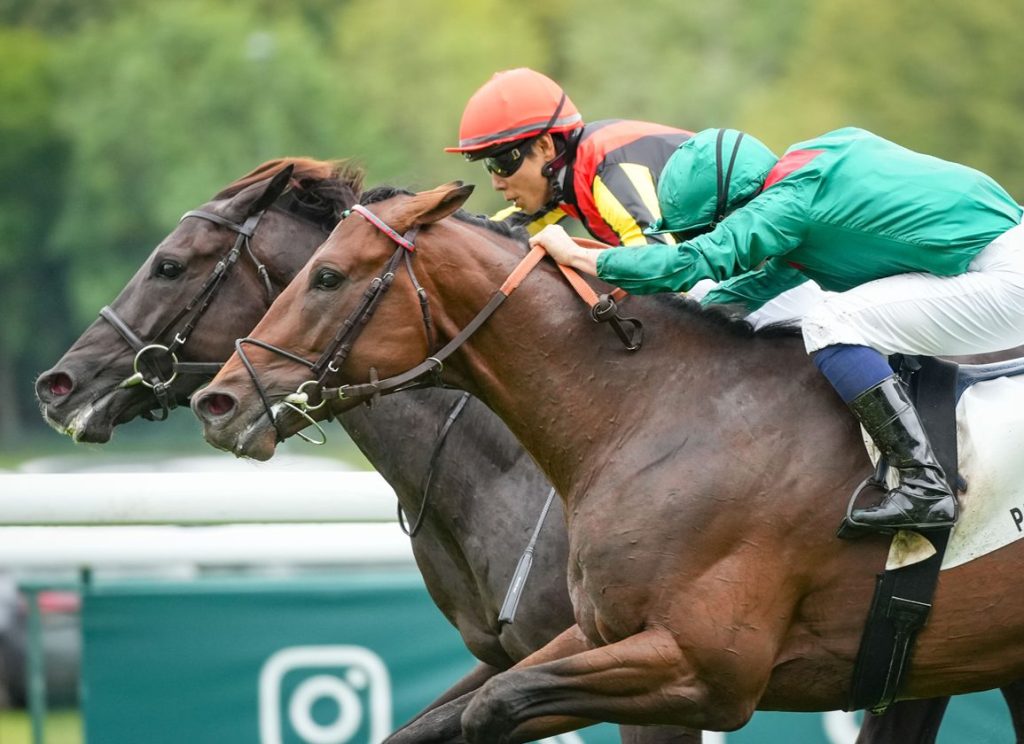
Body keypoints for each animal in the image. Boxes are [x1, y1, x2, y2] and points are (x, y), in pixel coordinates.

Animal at [190, 181, 1024, 744]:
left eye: (328, 276)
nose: (218, 402)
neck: (657, 410)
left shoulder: (699, 670)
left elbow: (496, 706)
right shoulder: (594, 633)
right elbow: (452, 718)